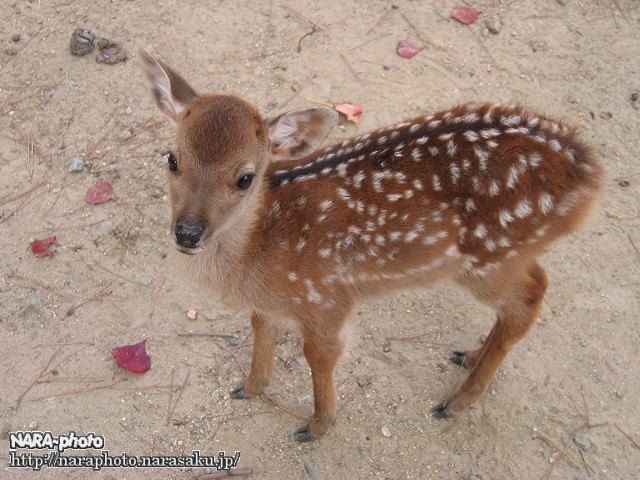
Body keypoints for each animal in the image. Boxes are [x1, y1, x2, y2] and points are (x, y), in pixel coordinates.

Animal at [139, 50, 600, 440]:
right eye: (172, 159)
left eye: (245, 178)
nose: (188, 232)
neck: (259, 245)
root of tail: (589, 171)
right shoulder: (271, 302)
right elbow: (260, 328)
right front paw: (250, 387)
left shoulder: (326, 296)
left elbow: (318, 354)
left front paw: (318, 425)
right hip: (507, 255)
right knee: (533, 284)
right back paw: (469, 357)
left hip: (489, 258)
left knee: (528, 300)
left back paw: (456, 402)